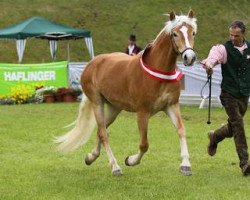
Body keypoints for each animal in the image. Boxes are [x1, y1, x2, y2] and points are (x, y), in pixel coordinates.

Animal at [54, 10, 197, 177]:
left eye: (193, 33)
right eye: (174, 34)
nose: (189, 58)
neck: (159, 72)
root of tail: (93, 63)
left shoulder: (171, 106)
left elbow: (181, 130)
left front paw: (185, 165)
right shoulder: (142, 112)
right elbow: (144, 144)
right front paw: (130, 160)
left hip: (114, 108)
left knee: (101, 131)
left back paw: (91, 157)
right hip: (97, 103)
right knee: (103, 133)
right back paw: (115, 167)